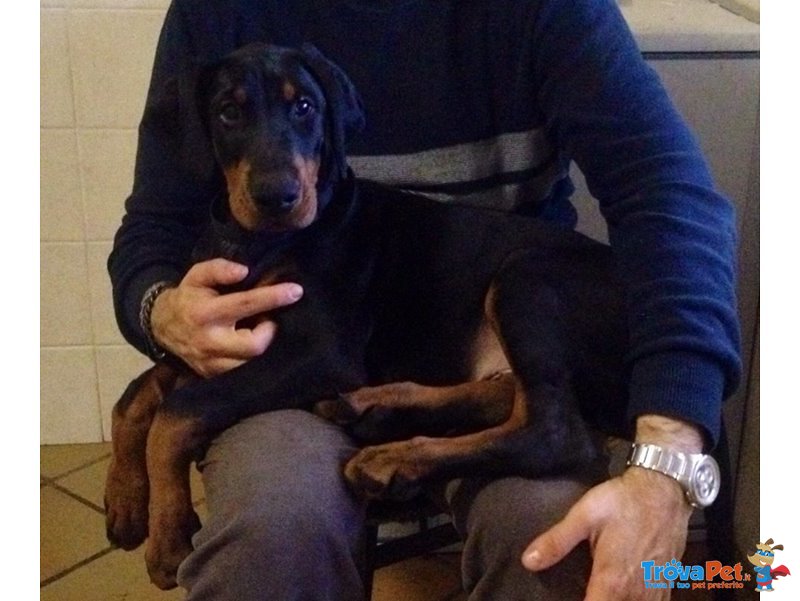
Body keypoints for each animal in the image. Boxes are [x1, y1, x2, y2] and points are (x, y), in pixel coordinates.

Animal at [104, 44, 632, 588]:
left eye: (305, 107)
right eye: (228, 112)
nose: (278, 197)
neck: (255, 242)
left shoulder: (321, 352)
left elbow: (180, 409)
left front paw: (167, 536)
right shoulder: (206, 327)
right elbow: (137, 395)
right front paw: (125, 502)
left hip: (526, 275)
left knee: (556, 431)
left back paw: (390, 460)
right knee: (508, 396)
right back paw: (371, 409)